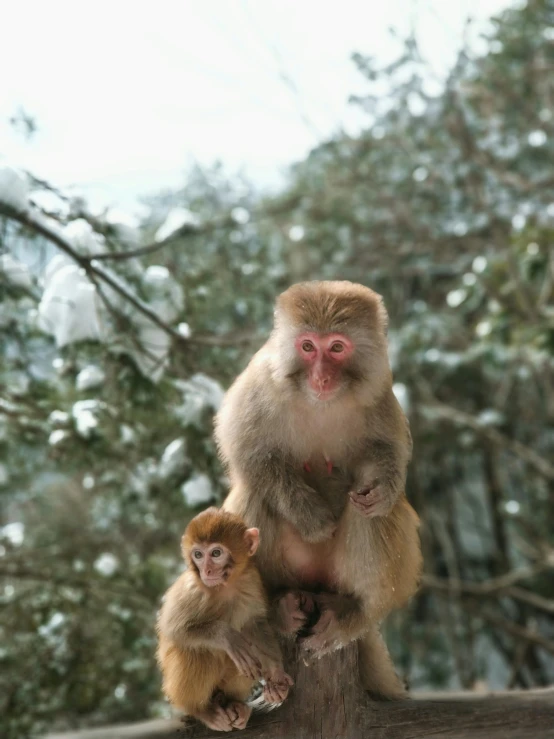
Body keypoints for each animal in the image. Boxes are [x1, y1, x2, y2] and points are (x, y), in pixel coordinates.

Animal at [156, 508, 292, 736]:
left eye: (216, 553)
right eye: (198, 555)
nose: (207, 571)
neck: (225, 586)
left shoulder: (251, 581)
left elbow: (257, 624)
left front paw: (276, 675)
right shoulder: (192, 590)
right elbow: (174, 630)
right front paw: (226, 636)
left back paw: (234, 703)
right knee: (198, 653)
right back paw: (202, 710)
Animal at [215, 280, 418, 696]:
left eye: (336, 348)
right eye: (308, 347)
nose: (321, 377)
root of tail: (314, 583)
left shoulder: (379, 391)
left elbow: (387, 452)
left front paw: (383, 488)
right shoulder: (261, 383)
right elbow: (247, 452)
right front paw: (311, 517)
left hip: (344, 577)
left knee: (367, 512)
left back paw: (355, 612)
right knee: (256, 493)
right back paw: (278, 607)